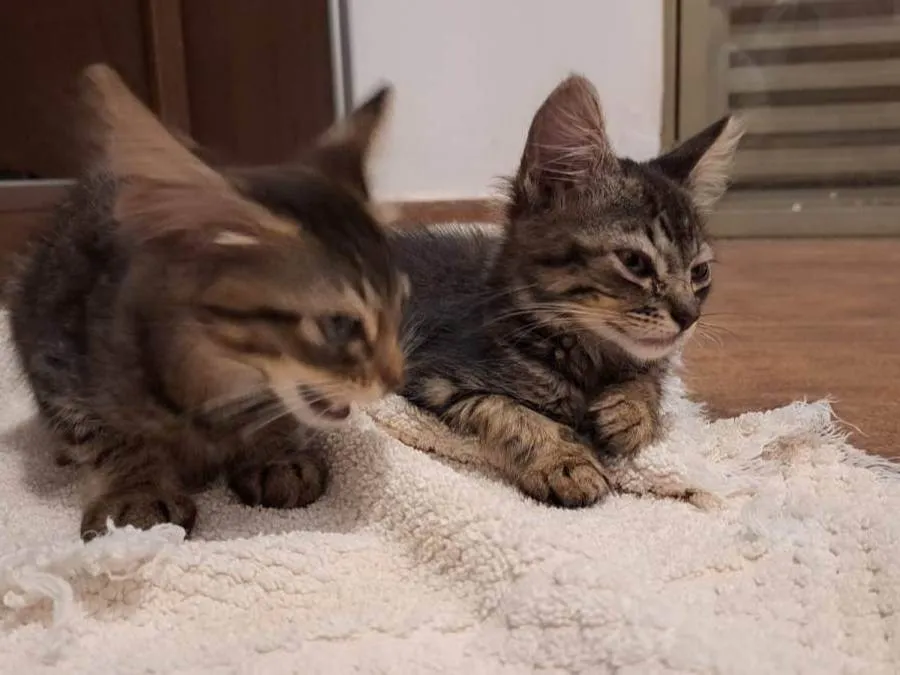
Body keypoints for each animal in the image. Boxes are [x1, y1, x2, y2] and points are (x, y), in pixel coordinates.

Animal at [8, 65, 407, 540]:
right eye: (340, 324)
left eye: (400, 305)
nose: (396, 379)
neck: (213, 390)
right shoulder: (57, 359)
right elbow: (106, 436)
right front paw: (136, 490)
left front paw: (275, 452)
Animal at [391, 74, 742, 507]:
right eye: (635, 262)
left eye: (700, 272)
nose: (689, 317)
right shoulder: (432, 376)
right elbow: (508, 410)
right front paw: (565, 461)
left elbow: (651, 375)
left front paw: (632, 410)